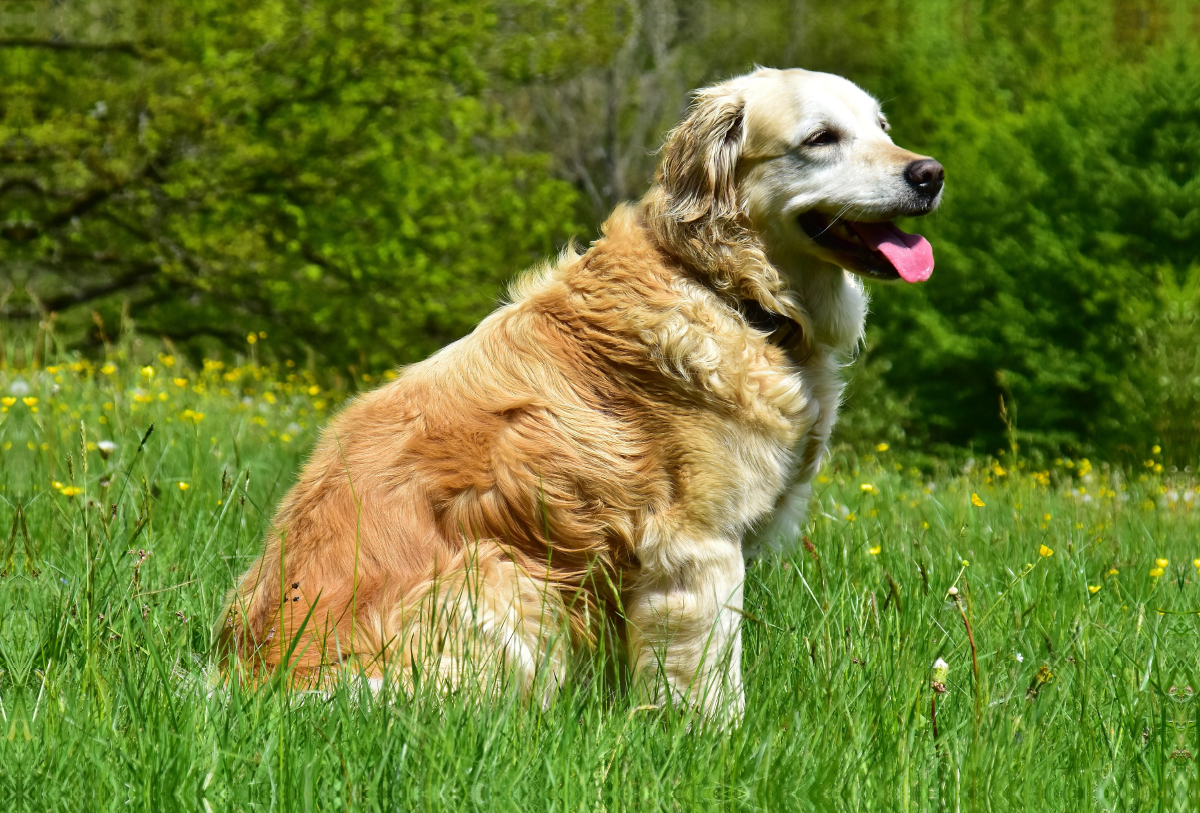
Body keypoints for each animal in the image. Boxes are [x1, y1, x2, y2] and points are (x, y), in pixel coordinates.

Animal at [220, 66, 940, 724]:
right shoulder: (696, 547)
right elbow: (709, 679)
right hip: (504, 569)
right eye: (821, 138)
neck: (728, 291)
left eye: (882, 127)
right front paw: (717, 743)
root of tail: (255, 680)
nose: (929, 174)